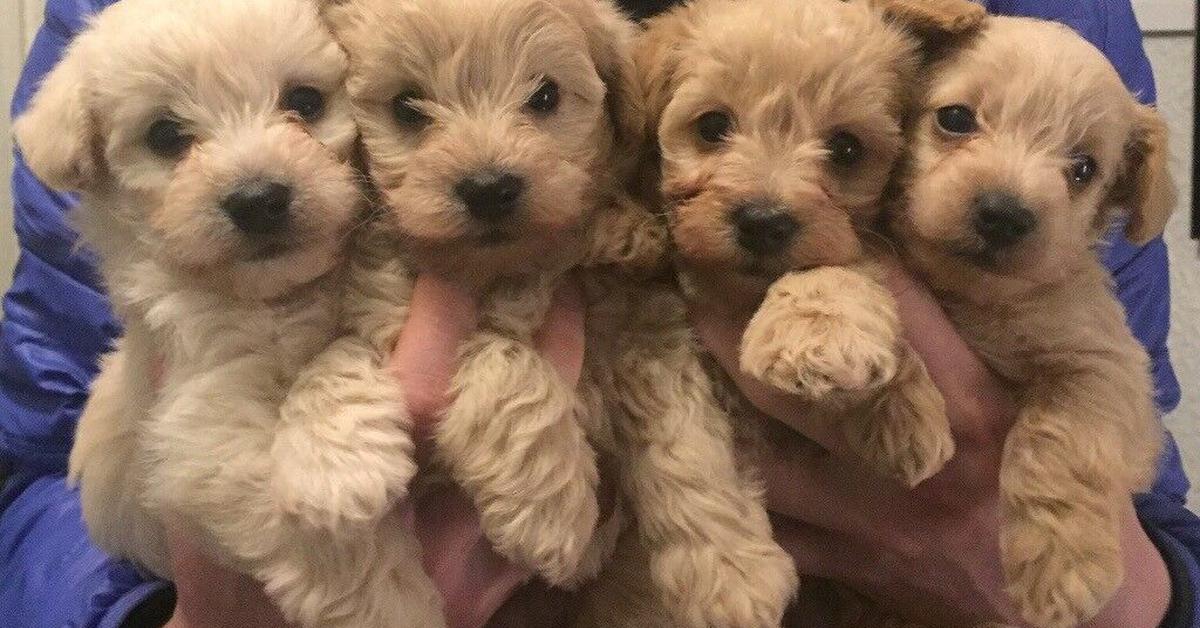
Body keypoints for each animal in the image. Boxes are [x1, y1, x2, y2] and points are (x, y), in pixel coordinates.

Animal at [902, 14, 1171, 628]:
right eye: (956, 118)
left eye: (1083, 169)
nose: (1003, 215)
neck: (971, 296)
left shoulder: (1103, 364)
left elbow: (1060, 437)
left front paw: (1060, 565)